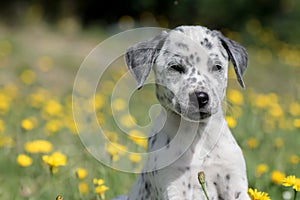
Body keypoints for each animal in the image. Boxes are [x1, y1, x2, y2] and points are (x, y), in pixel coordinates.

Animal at [113, 25, 250, 199]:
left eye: (217, 67)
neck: (197, 134)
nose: (201, 97)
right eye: (176, 67)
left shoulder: (234, 184)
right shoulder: (173, 186)